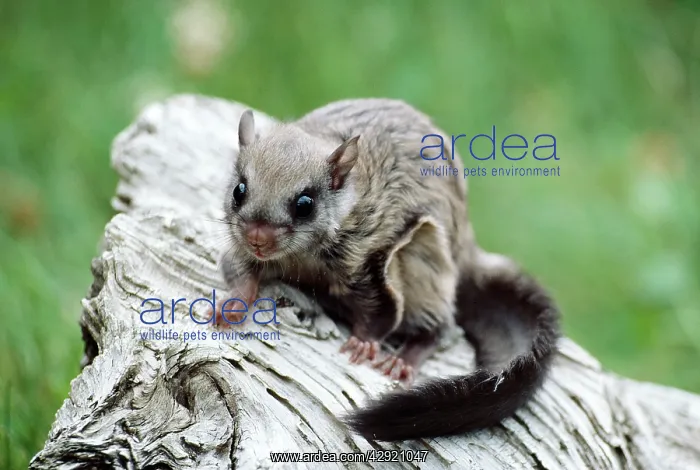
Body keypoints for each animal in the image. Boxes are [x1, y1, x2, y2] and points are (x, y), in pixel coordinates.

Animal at [214, 98, 560, 441]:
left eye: (304, 204)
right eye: (239, 191)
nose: (258, 237)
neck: (303, 255)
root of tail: (466, 250)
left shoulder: (369, 260)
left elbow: (379, 310)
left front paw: (364, 342)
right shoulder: (241, 251)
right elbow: (238, 272)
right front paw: (230, 305)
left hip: (424, 259)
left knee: (441, 327)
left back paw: (404, 358)